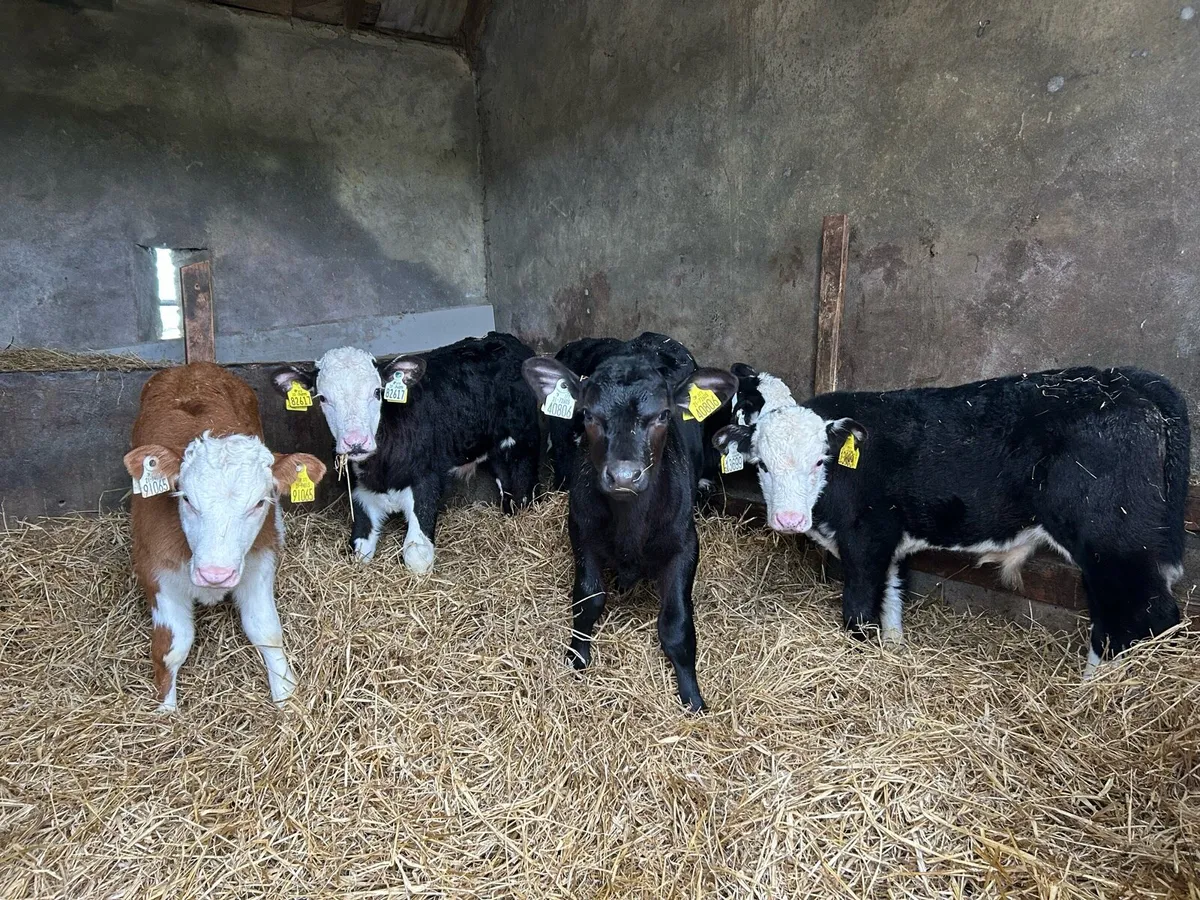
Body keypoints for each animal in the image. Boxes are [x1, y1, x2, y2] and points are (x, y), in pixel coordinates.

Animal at [123, 362, 326, 712]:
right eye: (186, 499)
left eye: (260, 502)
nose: (215, 574)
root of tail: (195, 367)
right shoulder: (154, 570)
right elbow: (172, 646)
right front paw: (166, 712)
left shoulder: (260, 562)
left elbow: (267, 631)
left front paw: (287, 697)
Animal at [271, 332, 541, 574]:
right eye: (323, 398)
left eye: (377, 392)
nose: (356, 442)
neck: (382, 470)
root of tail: (503, 339)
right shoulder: (361, 491)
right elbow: (358, 552)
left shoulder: (426, 482)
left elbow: (417, 556)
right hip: (495, 450)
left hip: (524, 442)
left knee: (523, 486)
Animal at [710, 365, 1189, 675]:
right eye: (762, 464)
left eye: (819, 461)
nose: (788, 519)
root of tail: (1130, 380)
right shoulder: (890, 539)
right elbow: (892, 602)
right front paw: (894, 651)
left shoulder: (865, 540)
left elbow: (860, 612)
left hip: (1114, 545)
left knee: (1139, 616)